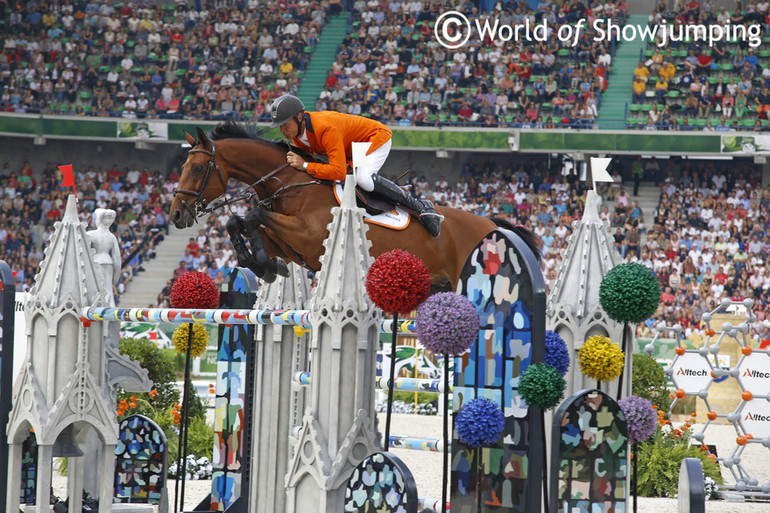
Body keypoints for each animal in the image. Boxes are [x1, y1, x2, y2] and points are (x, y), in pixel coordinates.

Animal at [170, 120, 540, 288]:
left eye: (198, 168)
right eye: (183, 165)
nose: (175, 215)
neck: (290, 184)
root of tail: (492, 223)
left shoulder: (309, 235)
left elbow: (255, 214)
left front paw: (263, 263)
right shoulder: (291, 246)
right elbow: (244, 223)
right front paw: (264, 265)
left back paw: (430, 216)